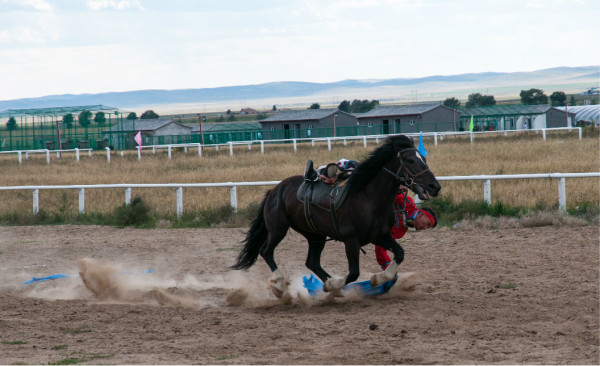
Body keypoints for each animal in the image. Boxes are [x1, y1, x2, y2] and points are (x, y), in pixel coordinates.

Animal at [231, 134, 440, 298]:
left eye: (424, 158)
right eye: (411, 160)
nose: (434, 186)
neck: (367, 197)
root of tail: (274, 190)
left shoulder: (380, 236)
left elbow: (399, 254)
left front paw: (376, 279)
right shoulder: (351, 240)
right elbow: (354, 273)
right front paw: (335, 284)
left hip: (315, 235)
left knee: (312, 262)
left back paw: (331, 289)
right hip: (278, 229)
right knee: (266, 251)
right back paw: (281, 286)